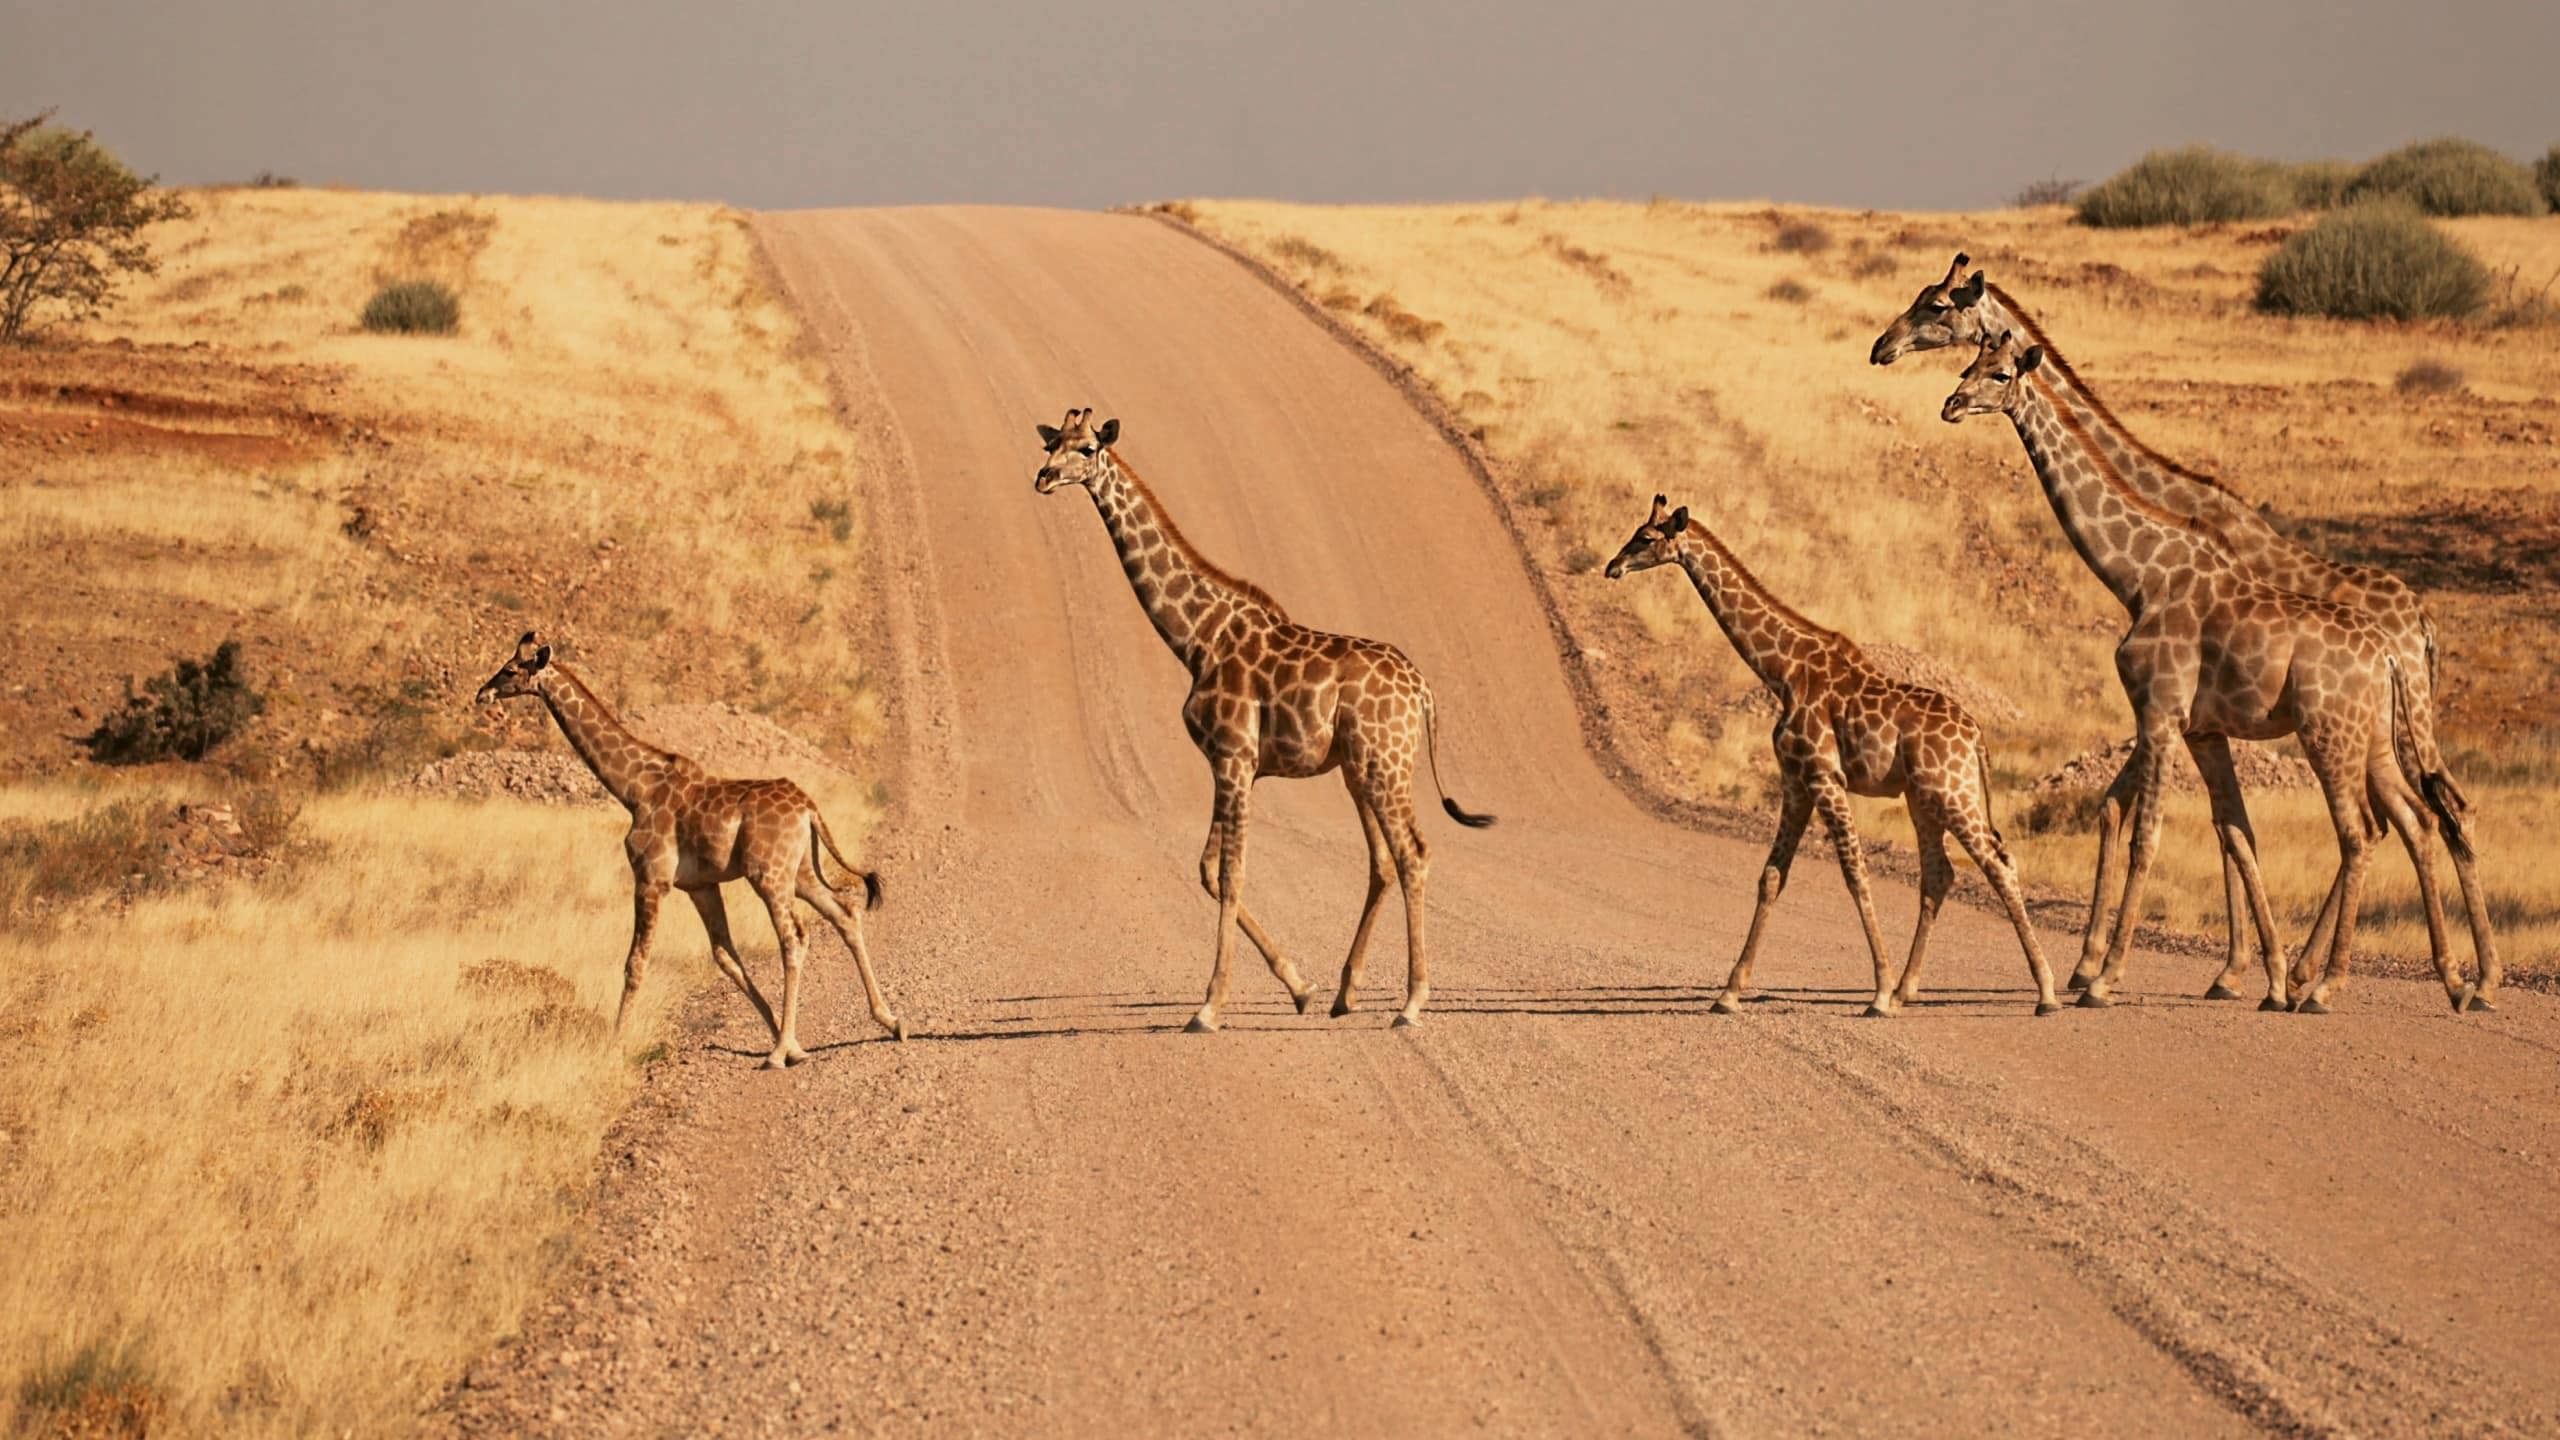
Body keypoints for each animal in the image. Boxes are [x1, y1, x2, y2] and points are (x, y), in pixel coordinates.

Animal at [474, 632, 907, 1064]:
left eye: (509, 669)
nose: (482, 694)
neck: (634, 789)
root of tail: (809, 808)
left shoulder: (651, 879)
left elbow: (636, 962)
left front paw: (615, 1044)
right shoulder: (700, 885)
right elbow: (725, 956)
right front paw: (786, 1036)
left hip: (768, 874)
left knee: (795, 937)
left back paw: (780, 1052)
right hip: (799, 871)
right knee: (845, 913)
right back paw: (889, 1022)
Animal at [1031, 407, 1493, 1032]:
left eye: (1086, 448)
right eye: (1052, 442)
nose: (1042, 478)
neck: (1196, 638)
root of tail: (1423, 692)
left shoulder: (1233, 757)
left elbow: (1231, 873)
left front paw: (1209, 1007)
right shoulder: (1232, 766)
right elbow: (1208, 870)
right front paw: (1300, 987)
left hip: (1386, 765)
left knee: (1413, 853)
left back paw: (1412, 1003)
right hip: (1358, 771)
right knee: (1382, 862)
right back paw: (1345, 994)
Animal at [1606, 495, 2062, 1017]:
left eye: (1644, 537)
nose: (1611, 566)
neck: (1781, 671)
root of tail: (1977, 736)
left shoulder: (1825, 777)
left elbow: (1855, 873)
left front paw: (1878, 991)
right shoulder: (1795, 781)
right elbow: (1771, 876)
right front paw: (1729, 992)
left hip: (1951, 792)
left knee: (1998, 864)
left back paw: (2045, 993)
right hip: (1922, 798)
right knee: (1940, 874)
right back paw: (1908, 989)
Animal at [1872, 254, 2497, 1003]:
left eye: (1938, 306)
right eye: (1967, 358)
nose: (1883, 349)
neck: (2145, 567)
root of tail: (2415, 629)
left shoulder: (2165, 711)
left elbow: (2159, 830)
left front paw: (2122, 973)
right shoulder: (2194, 723)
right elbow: (2204, 827)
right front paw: (2234, 971)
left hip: (2360, 729)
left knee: (2395, 822)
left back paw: (2385, 979)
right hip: (2378, 732)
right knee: (2420, 815)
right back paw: (2441, 978)